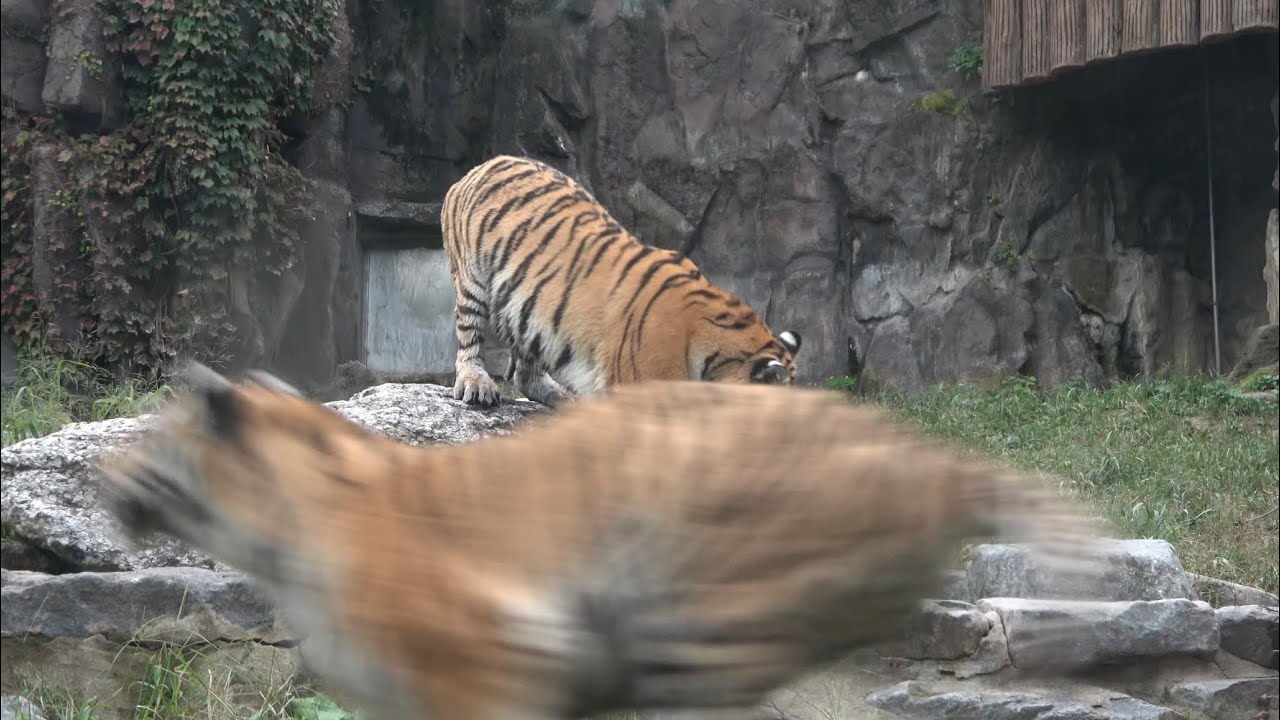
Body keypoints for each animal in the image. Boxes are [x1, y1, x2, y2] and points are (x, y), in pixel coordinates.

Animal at [441, 154, 801, 408]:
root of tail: (482, 166)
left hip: (529, 312)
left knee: (523, 373)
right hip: (473, 282)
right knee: (469, 341)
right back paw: (476, 383)